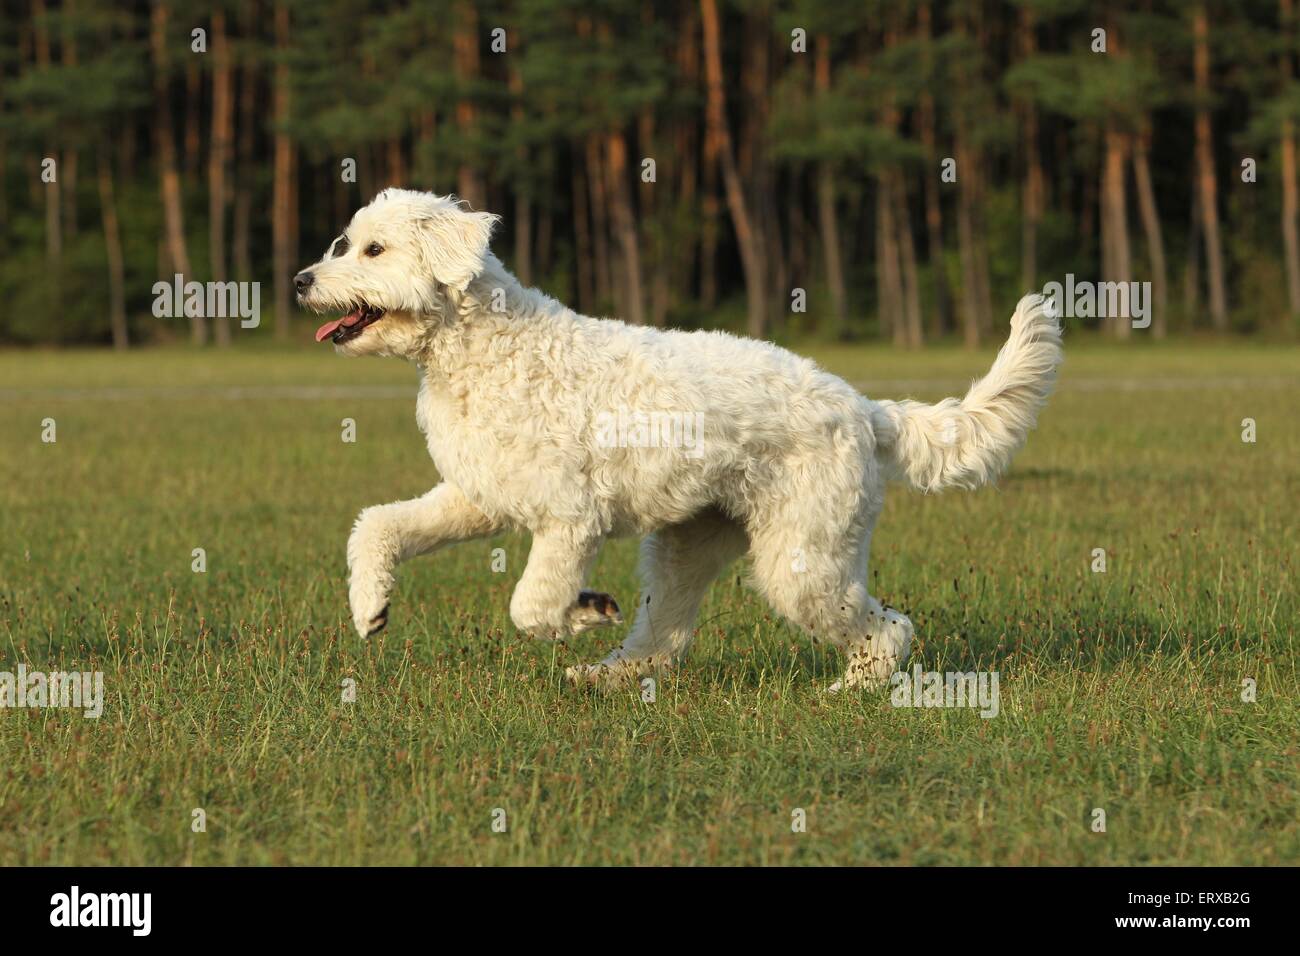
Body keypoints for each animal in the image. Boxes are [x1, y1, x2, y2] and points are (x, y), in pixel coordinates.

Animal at [297, 188, 1066, 697]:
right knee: (662, 639)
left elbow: (531, 607)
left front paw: (581, 610)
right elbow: (379, 527)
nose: (301, 280)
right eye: (344, 241)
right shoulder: (477, 496)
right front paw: (370, 609)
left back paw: (854, 690)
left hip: (801, 563)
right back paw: (604, 676)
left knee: (890, 627)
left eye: (374, 249)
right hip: (685, 550)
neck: (484, 348)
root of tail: (867, 409)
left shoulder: (568, 519)